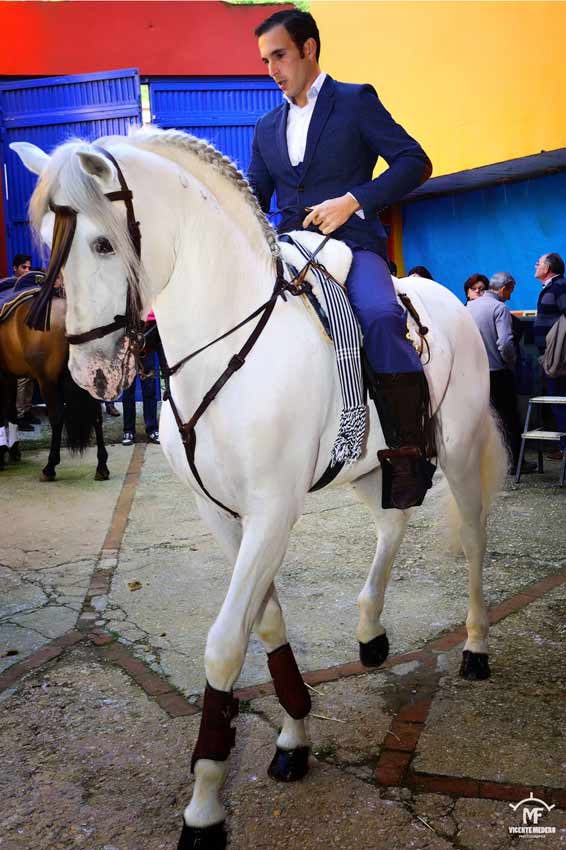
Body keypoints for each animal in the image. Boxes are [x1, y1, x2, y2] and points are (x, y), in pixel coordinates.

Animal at [0, 292, 110, 476]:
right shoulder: (9, 375)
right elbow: (10, 412)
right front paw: (14, 450)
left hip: (47, 381)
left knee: (57, 417)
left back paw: (50, 466)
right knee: (96, 415)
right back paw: (102, 466)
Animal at [13, 127, 508, 848]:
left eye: (103, 243)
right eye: (48, 239)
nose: (92, 374)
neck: (224, 348)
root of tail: (450, 303)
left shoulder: (274, 510)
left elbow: (226, 644)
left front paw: (205, 804)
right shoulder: (223, 512)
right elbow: (266, 620)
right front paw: (295, 732)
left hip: (462, 452)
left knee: (472, 539)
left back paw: (474, 647)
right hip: (373, 466)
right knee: (392, 522)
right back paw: (370, 631)